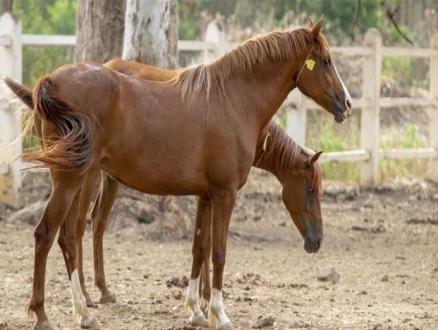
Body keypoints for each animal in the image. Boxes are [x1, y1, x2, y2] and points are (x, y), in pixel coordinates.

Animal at [6, 18, 352, 330]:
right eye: (326, 61)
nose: (347, 103)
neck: (233, 101)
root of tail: (50, 81)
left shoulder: (206, 196)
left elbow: (199, 249)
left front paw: (196, 311)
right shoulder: (225, 194)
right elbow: (219, 252)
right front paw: (219, 314)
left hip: (78, 178)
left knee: (69, 235)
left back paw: (84, 312)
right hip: (73, 179)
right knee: (48, 233)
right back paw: (44, 315)